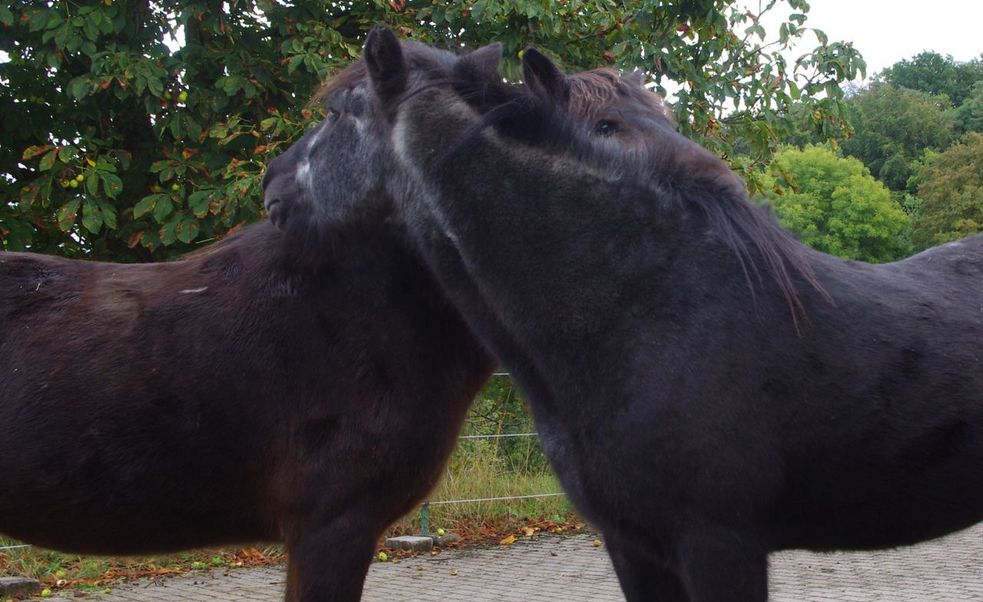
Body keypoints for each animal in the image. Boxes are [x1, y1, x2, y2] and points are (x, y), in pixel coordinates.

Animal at [268, 29, 983, 600]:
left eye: (337, 113)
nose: (271, 183)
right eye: (608, 126)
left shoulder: (721, 543)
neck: (642, 311)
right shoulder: (632, 546)